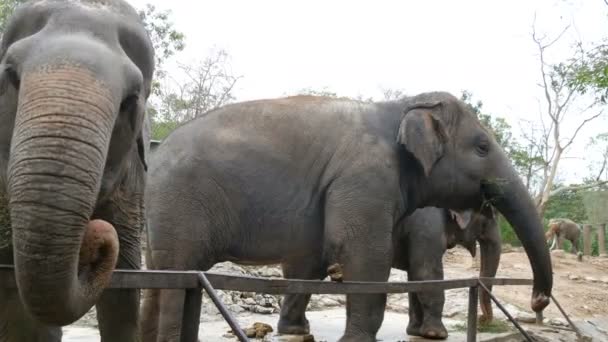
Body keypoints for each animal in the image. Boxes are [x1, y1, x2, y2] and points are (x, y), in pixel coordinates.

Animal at [280, 204, 498, 338]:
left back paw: (296, 330)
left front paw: (416, 333)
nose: (483, 321)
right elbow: (426, 272)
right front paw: (437, 335)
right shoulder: (427, 226)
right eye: (487, 220)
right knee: (306, 276)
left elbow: (415, 278)